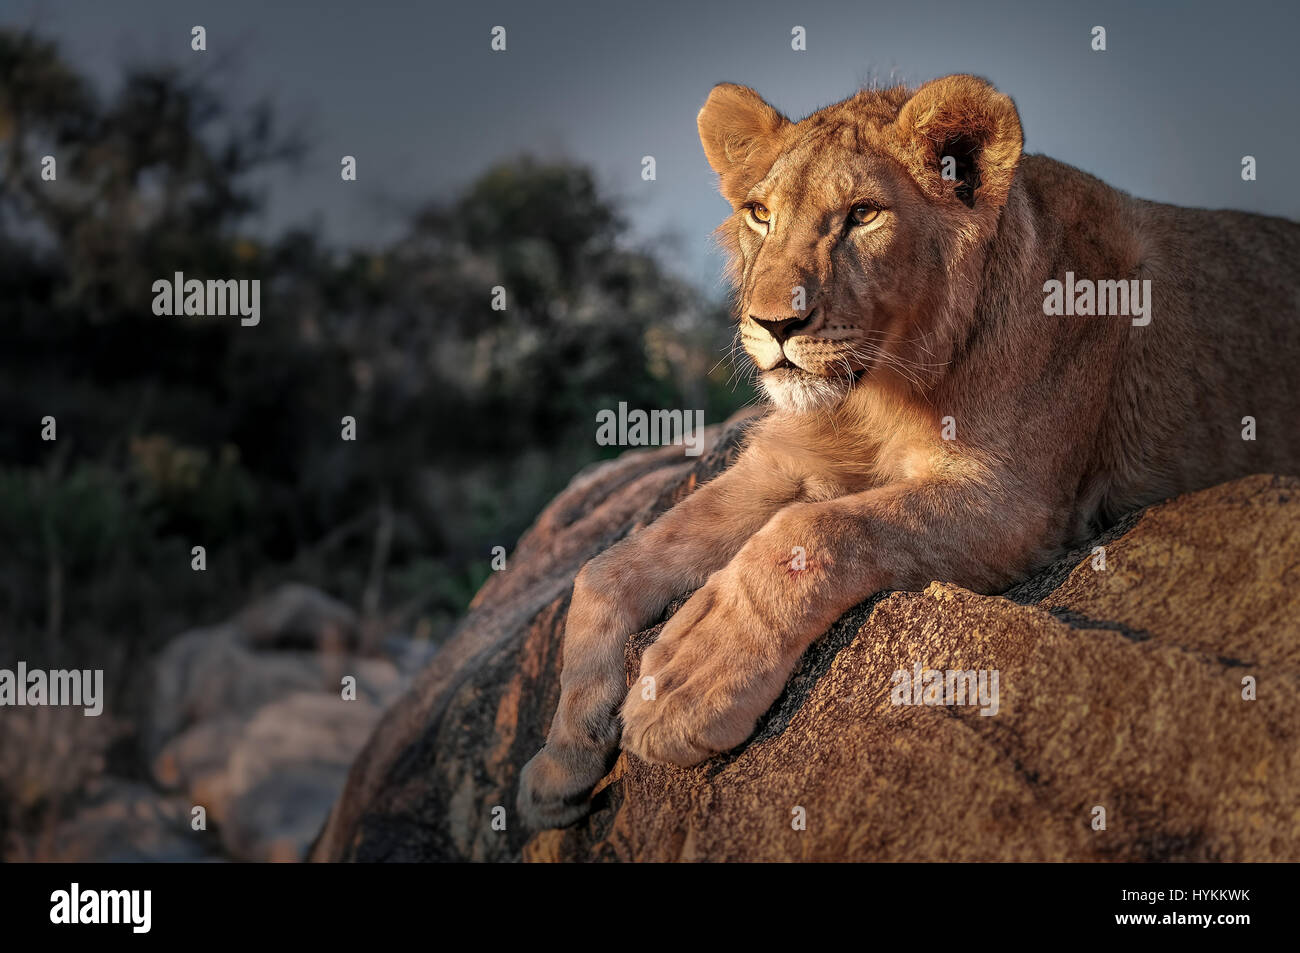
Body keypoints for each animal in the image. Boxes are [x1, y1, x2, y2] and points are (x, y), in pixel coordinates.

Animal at [517, 72, 1300, 826]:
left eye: (863, 215)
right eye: (760, 214)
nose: (774, 324)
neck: (875, 396)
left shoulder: (1017, 503)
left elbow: (812, 532)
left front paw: (687, 676)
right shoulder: (792, 461)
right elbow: (606, 569)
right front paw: (561, 760)